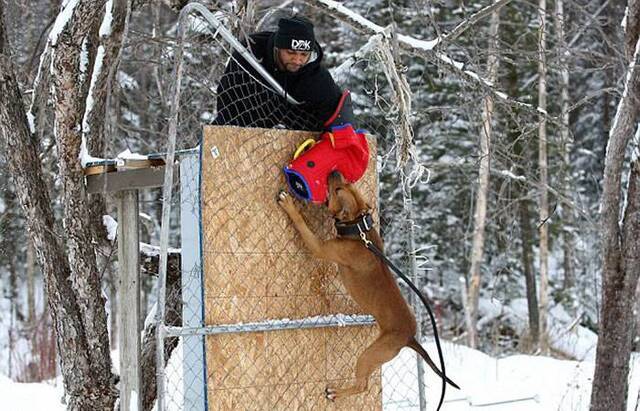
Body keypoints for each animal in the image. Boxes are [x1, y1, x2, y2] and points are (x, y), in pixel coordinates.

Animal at [278, 171, 458, 402]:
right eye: (344, 183)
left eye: (337, 190)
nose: (334, 172)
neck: (358, 227)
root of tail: (409, 338)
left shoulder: (319, 247)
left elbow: (302, 224)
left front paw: (290, 205)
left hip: (369, 355)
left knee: (362, 385)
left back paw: (336, 392)